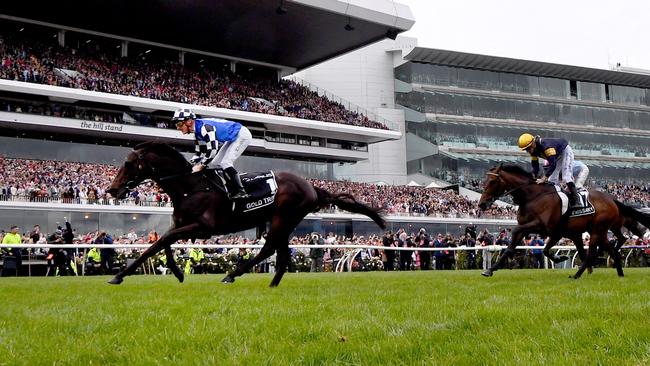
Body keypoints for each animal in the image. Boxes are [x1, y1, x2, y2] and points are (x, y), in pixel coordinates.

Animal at [106, 142, 384, 288]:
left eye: (128, 164)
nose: (112, 190)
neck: (190, 187)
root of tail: (311, 187)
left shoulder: (203, 227)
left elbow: (160, 243)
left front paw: (119, 276)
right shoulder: (181, 225)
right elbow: (160, 244)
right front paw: (177, 272)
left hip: (283, 218)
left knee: (269, 249)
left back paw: (232, 274)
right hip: (283, 221)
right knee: (281, 253)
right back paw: (272, 283)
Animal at [474, 164, 648, 278]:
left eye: (492, 182)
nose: (481, 204)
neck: (532, 197)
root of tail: (612, 200)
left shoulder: (542, 227)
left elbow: (520, 233)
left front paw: (561, 258)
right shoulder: (549, 231)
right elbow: (515, 248)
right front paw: (490, 270)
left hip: (598, 230)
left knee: (594, 251)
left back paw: (578, 274)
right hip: (599, 231)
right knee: (611, 248)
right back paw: (619, 273)